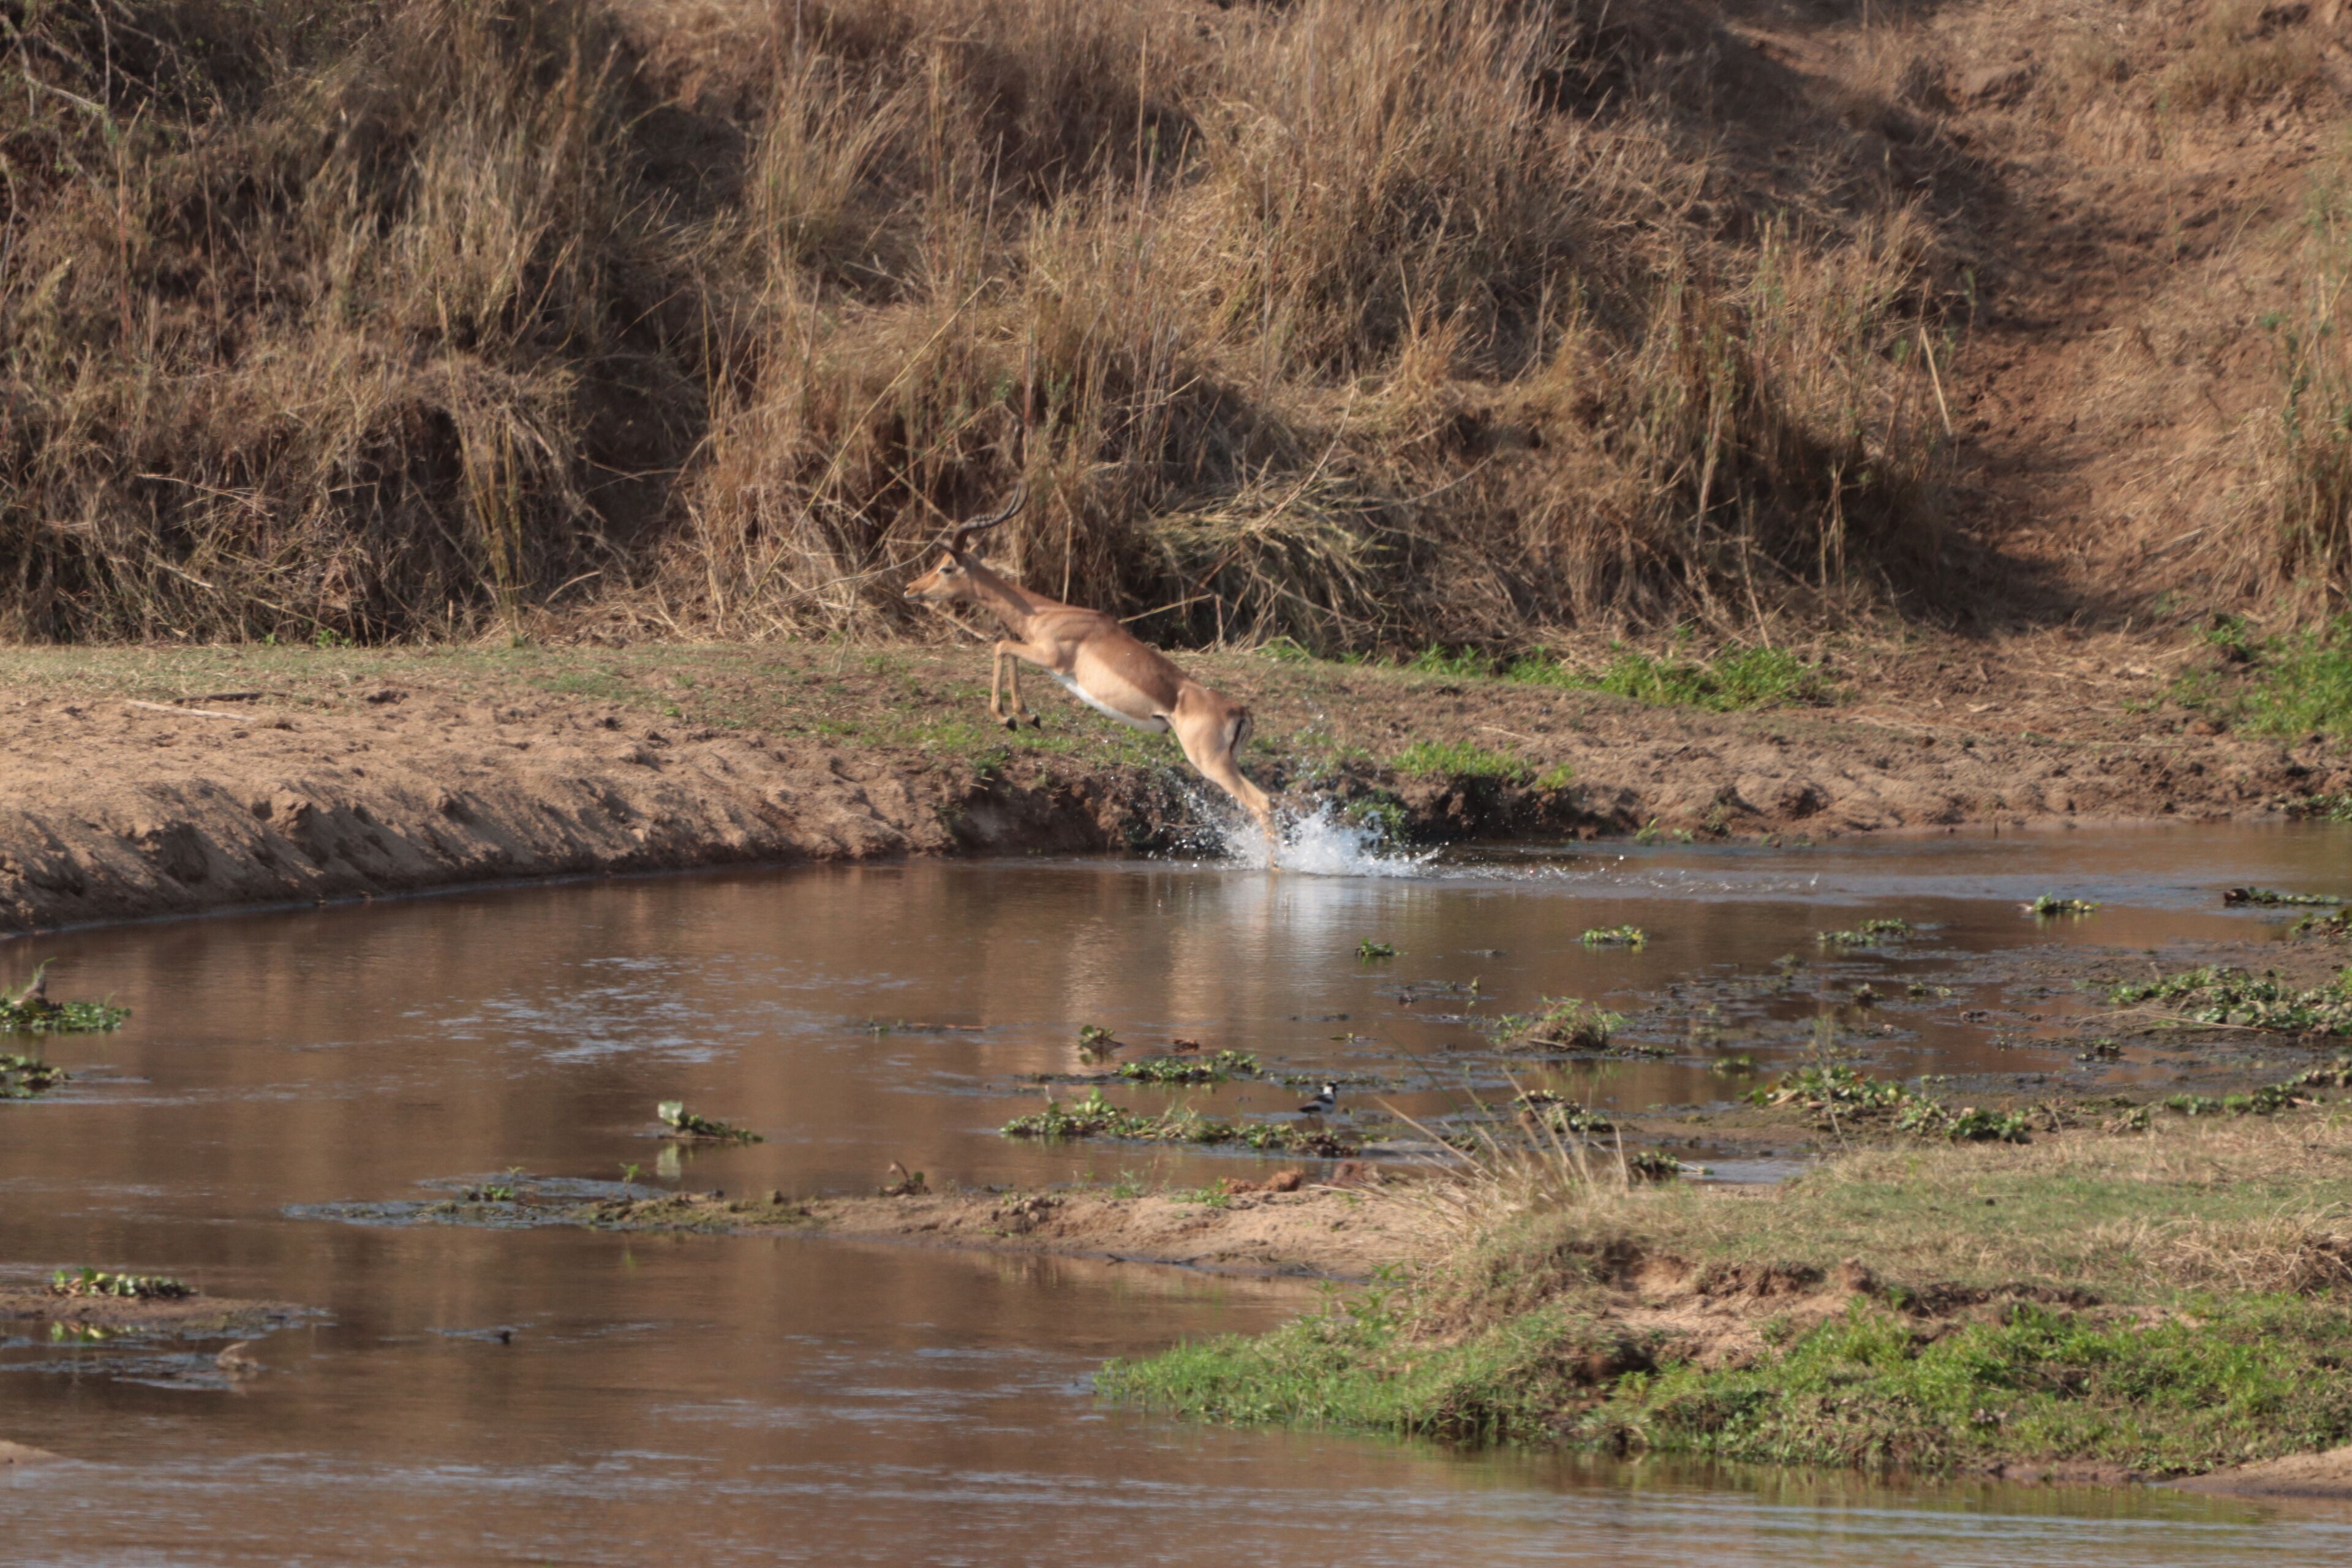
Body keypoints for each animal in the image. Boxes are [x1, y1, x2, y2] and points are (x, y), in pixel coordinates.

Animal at [904, 483, 1278, 844]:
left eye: (946, 567)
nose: (910, 588)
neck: (1044, 614)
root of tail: (1240, 710)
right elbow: (1007, 649)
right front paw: (1027, 717)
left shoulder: (1051, 658)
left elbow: (1002, 646)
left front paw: (1010, 717)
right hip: (1228, 763)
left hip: (1210, 762)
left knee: (1262, 804)